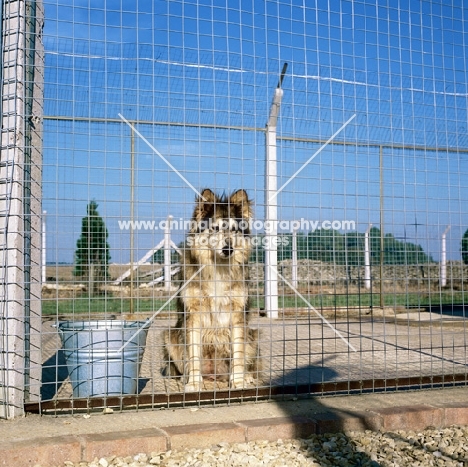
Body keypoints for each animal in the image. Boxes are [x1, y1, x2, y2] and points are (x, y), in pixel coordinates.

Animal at [163, 189, 260, 392]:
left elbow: (238, 352)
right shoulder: (193, 314)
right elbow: (193, 354)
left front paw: (238, 381)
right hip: (168, 335)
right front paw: (194, 383)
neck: (218, 267)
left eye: (234, 230)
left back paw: (246, 377)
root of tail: (215, 375)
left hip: (254, 336)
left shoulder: (238, 314)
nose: (228, 249)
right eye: (215, 228)